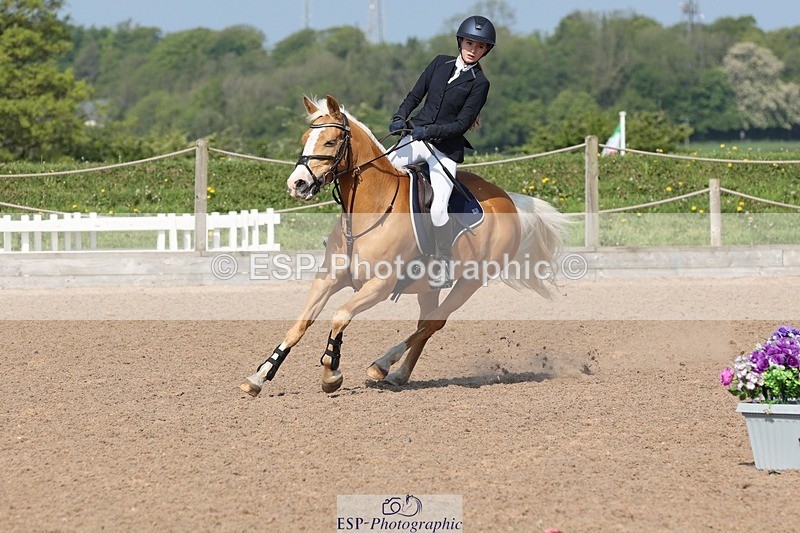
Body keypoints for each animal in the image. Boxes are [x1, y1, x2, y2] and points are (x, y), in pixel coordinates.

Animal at [240, 94, 568, 397]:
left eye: (331, 142)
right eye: (304, 140)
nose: (297, 184)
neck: (369, 209)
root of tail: (508, 199)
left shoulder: (379, 286)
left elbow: (340, 316)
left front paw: (331, 373)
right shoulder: (328, 278)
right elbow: (300, 325)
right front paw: (259, 377)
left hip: (470, 282)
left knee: (434, 322)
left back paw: (382, 365)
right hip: (429, 287)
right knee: (426, 323)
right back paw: (399, 375)